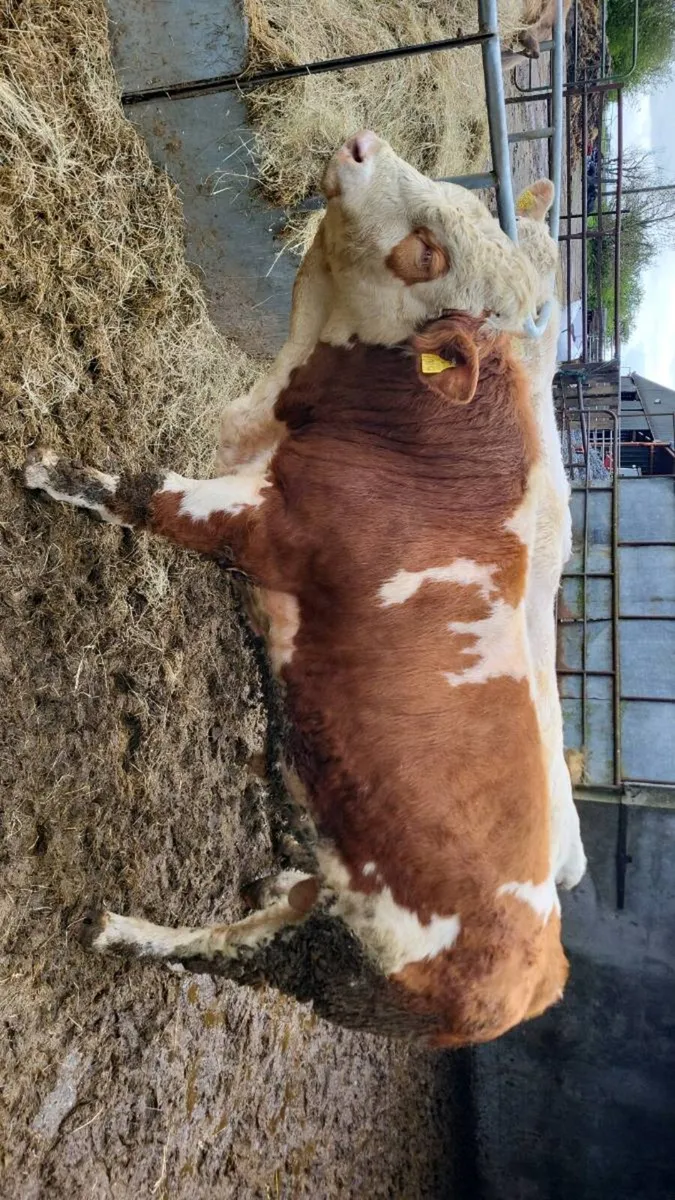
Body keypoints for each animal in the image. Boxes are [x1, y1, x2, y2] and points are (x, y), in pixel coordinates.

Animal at [24, 132, 585, 1047]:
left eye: (426, 250)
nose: (361, 143)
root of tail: (541, 975)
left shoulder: (260, 526)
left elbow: (145, 491)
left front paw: (48, 472)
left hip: (342, 966)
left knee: (231, 955)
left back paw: (126, 932)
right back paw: (272, 877)